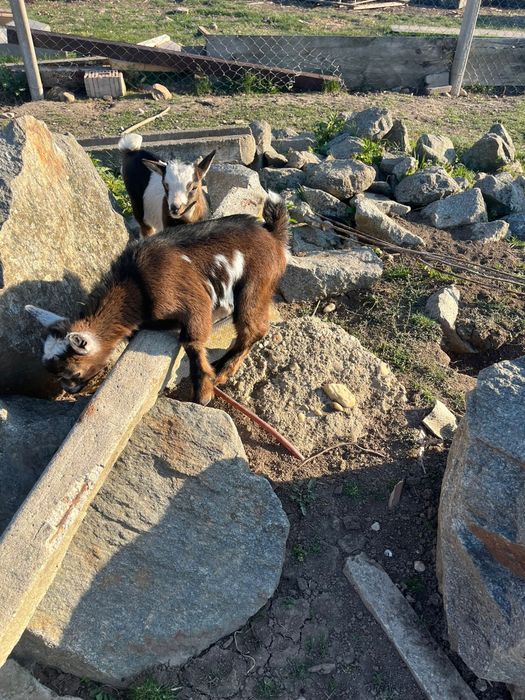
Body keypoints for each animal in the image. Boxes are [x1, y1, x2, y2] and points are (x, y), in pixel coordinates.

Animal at [26, 194, 289, 406]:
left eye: (73, 372)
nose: (69, 390)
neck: (134, 284)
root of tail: (273, 234)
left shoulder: (192, 300)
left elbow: (192, 341)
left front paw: (203, 393)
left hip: (255, 282)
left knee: (254, 328)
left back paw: (224, 371)